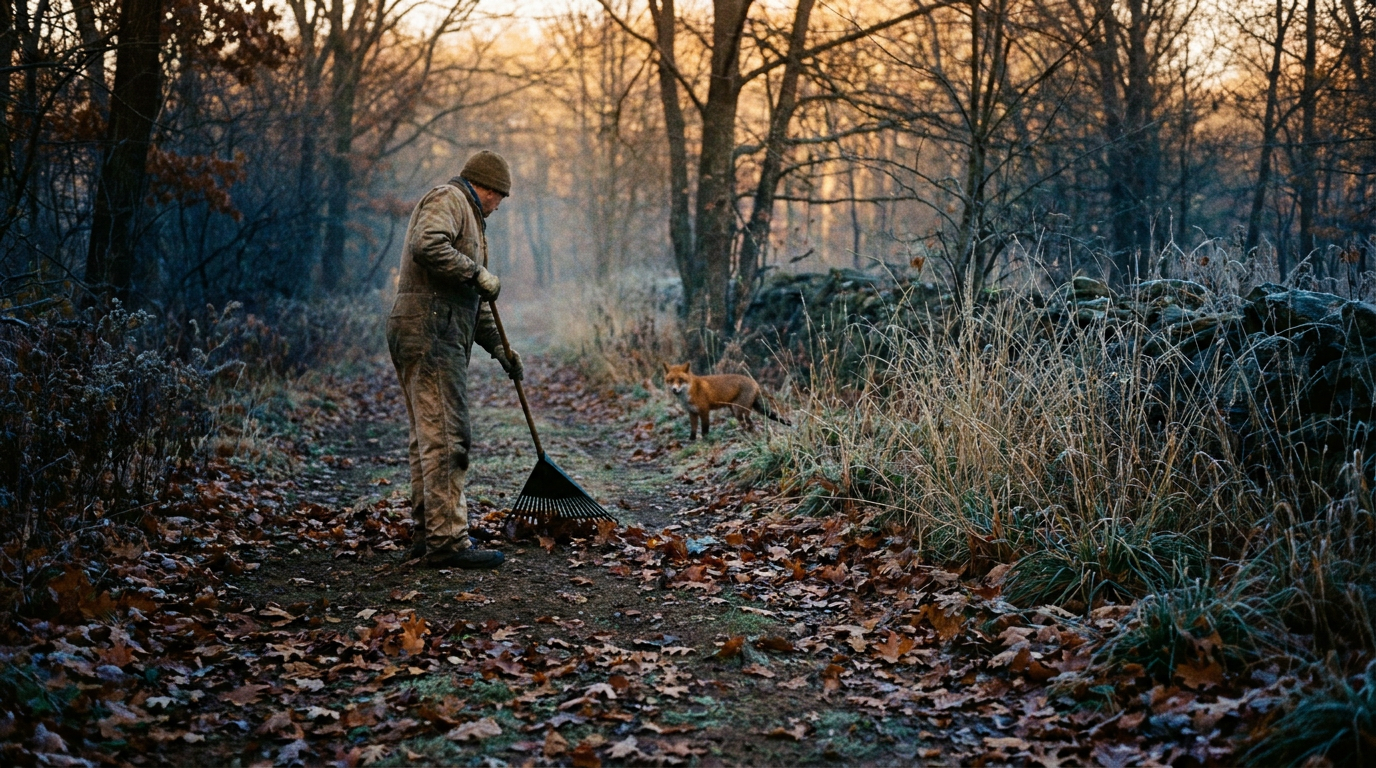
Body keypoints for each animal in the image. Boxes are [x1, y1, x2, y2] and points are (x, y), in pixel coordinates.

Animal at [662, 362, 790, 440]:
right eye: (670, 380)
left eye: (680, 380)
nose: (674, 389)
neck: (691, 391)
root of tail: (755, 383)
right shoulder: (692, 413)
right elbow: (693, 430)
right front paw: (691, 441)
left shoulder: (704, 411)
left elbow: (704, 429)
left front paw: (705, 440)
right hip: (737, 411)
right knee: (749, 425)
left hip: (739, 411)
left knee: (750, 425)